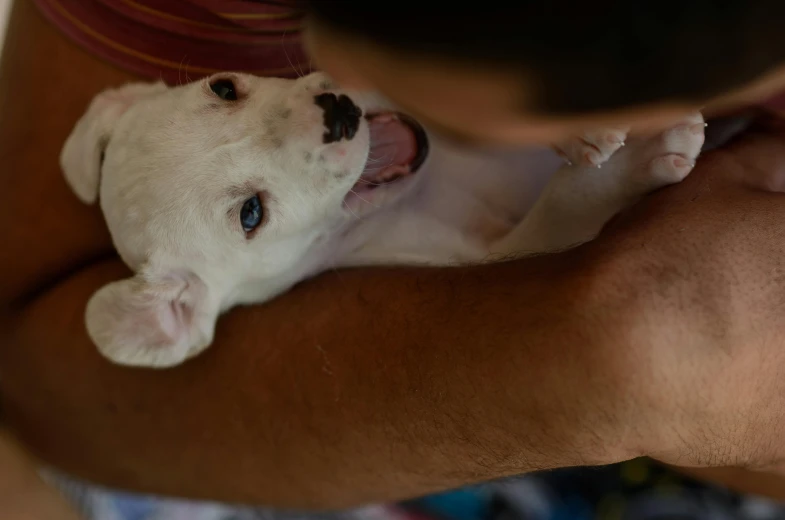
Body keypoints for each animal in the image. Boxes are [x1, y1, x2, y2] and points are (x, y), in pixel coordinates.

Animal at [61, 71, 704, 368]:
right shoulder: (488, 255)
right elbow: (562, 210)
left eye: (224, 87)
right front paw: (640, 159)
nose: (340, 113)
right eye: (251, 215)